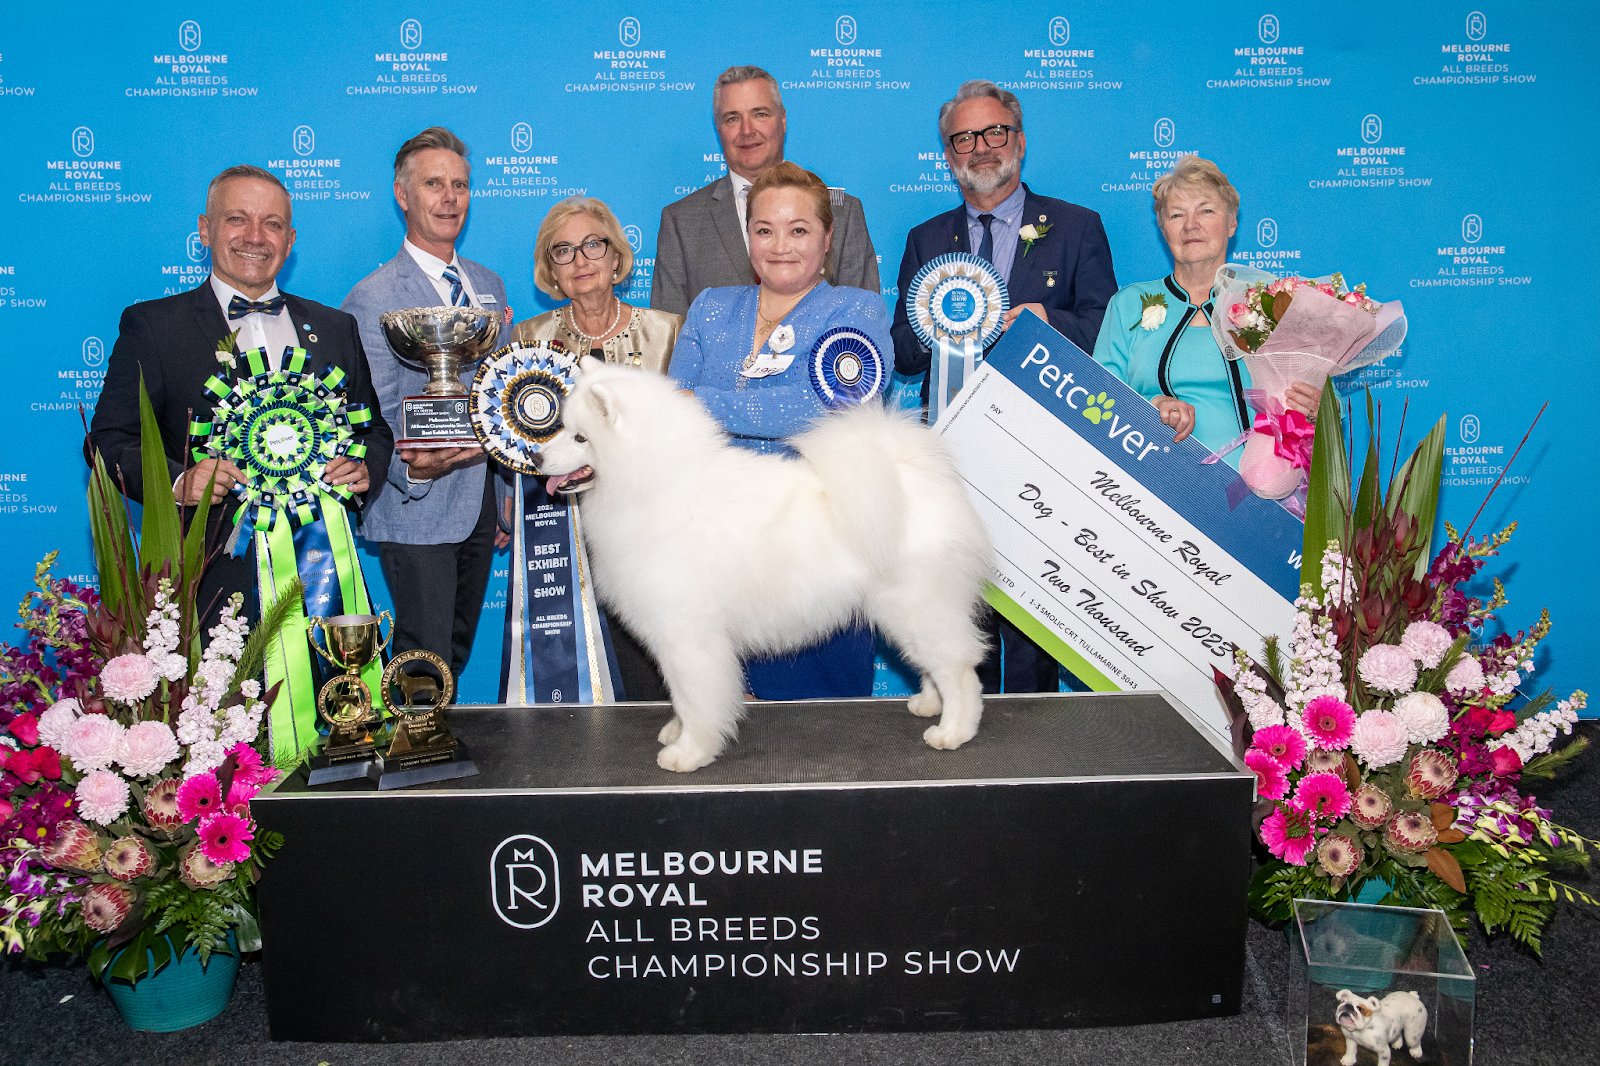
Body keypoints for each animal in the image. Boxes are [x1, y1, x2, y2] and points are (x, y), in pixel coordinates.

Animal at [537, 358, 985, 771]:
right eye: (561, 426)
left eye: (581, 437)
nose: (536, 457)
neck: (654, 487)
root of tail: (911, 472)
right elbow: (682, 699)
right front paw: (677, 732)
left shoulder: (688, 637)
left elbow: (695, 699)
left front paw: (689, 752)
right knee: (936, 665)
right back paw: (928, 703)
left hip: (916, 608)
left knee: (959, 670)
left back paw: (952, 732)